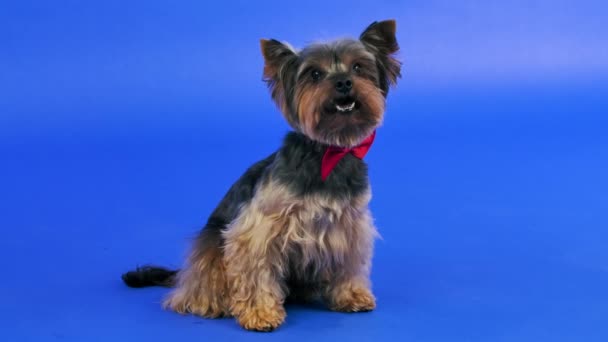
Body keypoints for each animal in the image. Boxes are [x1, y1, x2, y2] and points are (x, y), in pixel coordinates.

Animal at [122, 20, 400, 332]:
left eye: (358, 67)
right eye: (315, 74)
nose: (343, 82)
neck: (326, 152)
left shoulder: (350, 224)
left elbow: (349, 262)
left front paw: (351, 295)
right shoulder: (259, 230)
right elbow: (256, 271)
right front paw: (260, 313)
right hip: (211, 244)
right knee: (198, 288)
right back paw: (210, 303)